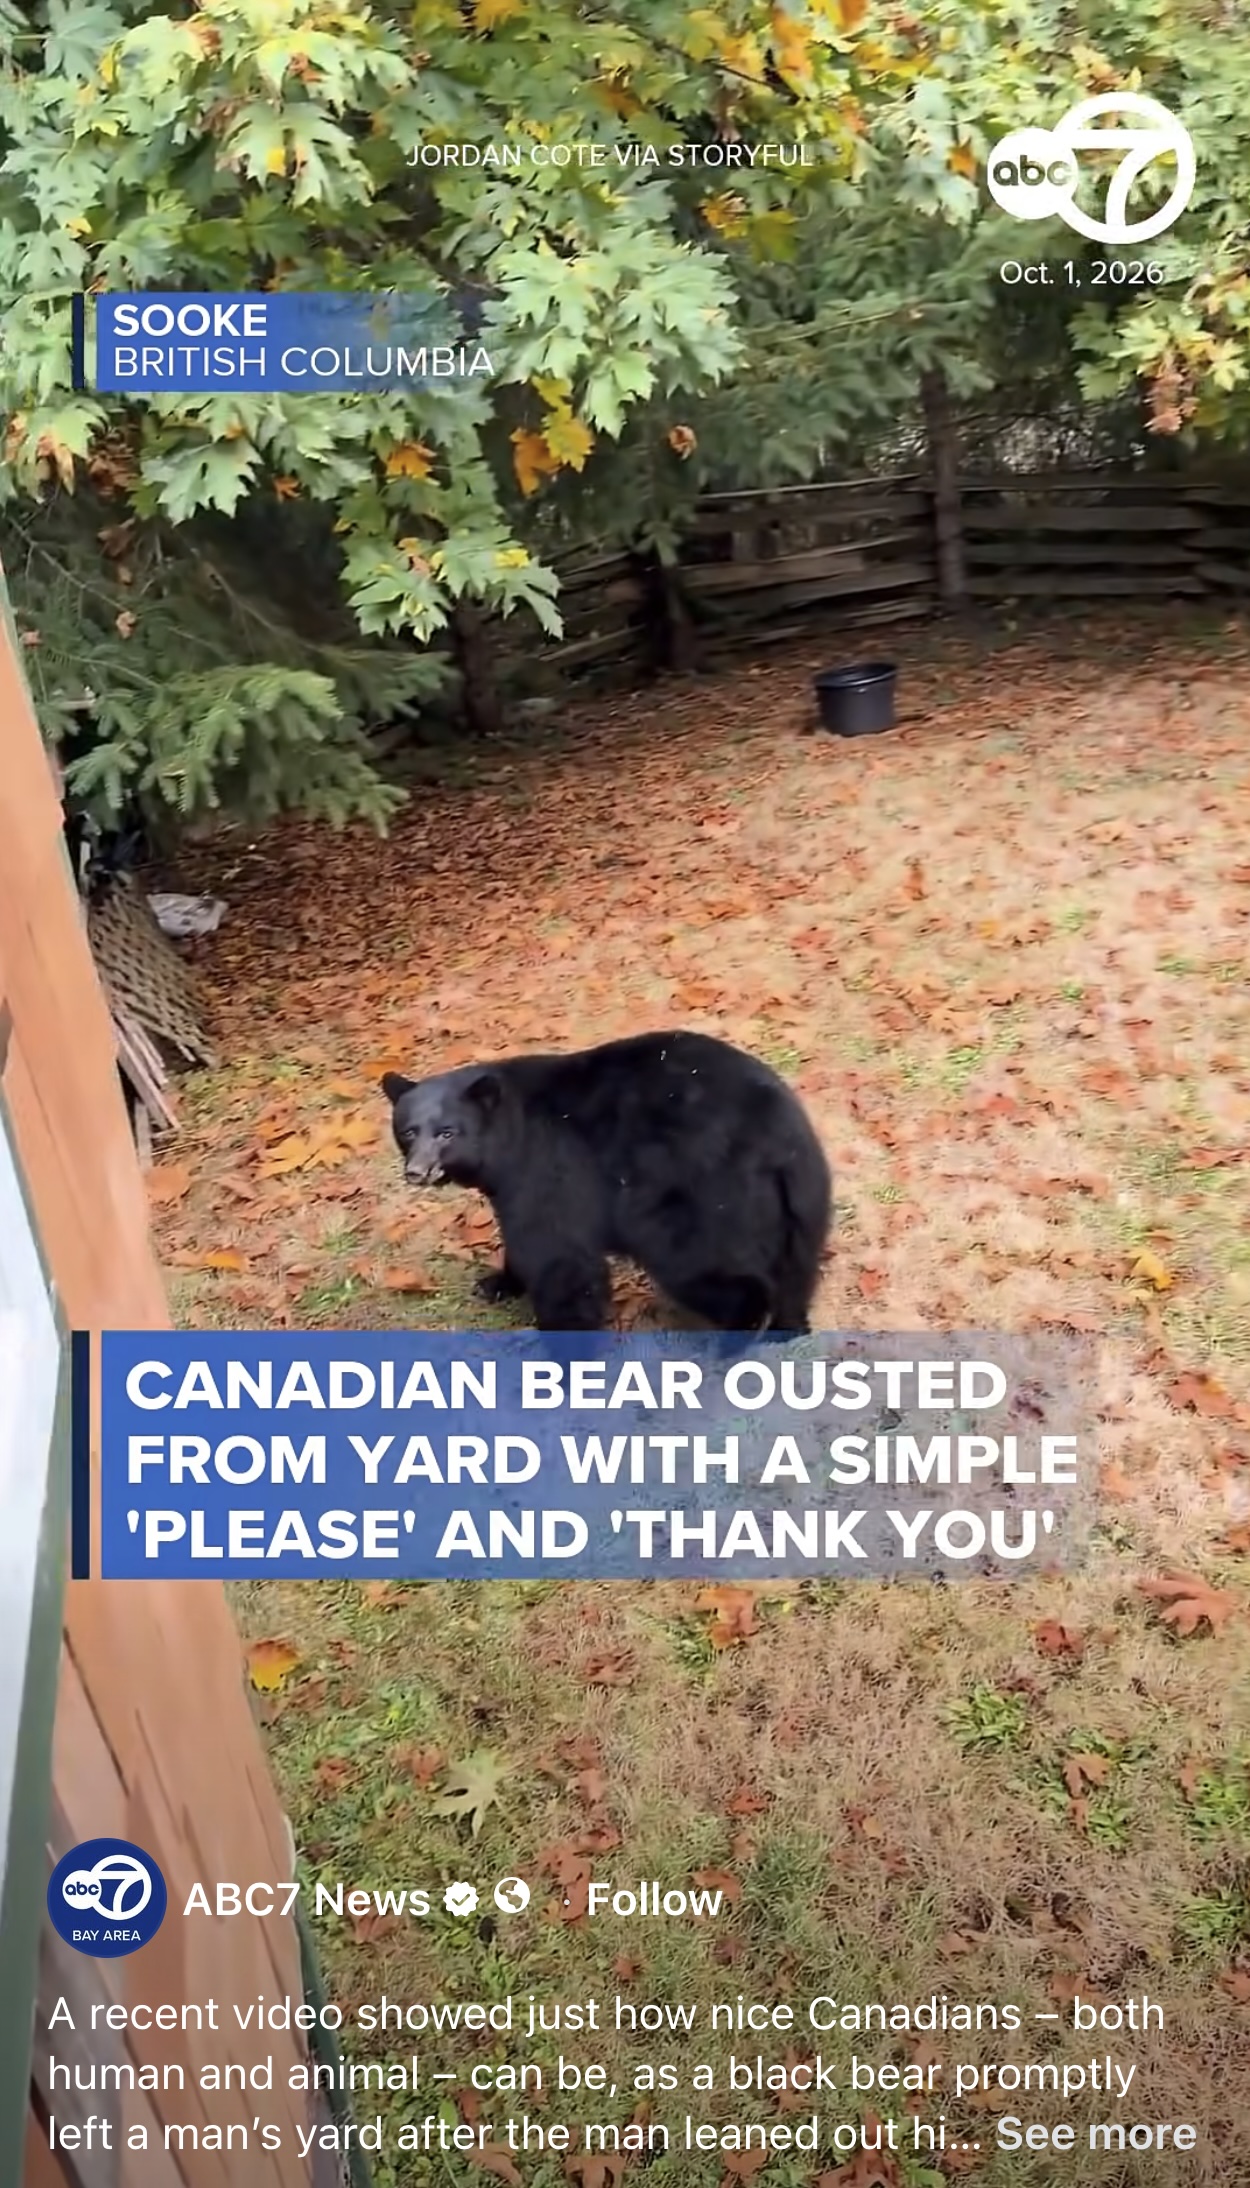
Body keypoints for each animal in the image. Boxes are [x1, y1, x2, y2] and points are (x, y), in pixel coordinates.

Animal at [380, 1028, 832, 1334]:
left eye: (447, 1133)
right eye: (408, 1131)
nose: (416, 1171)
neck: (509, 1136)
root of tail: (779, 1133)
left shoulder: (547, 1164)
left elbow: (557, 1254)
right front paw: (496, 1282)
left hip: (704, 1196)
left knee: (701, 1265)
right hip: (800, 1198)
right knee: (797, 1264)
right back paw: (787, 1325)